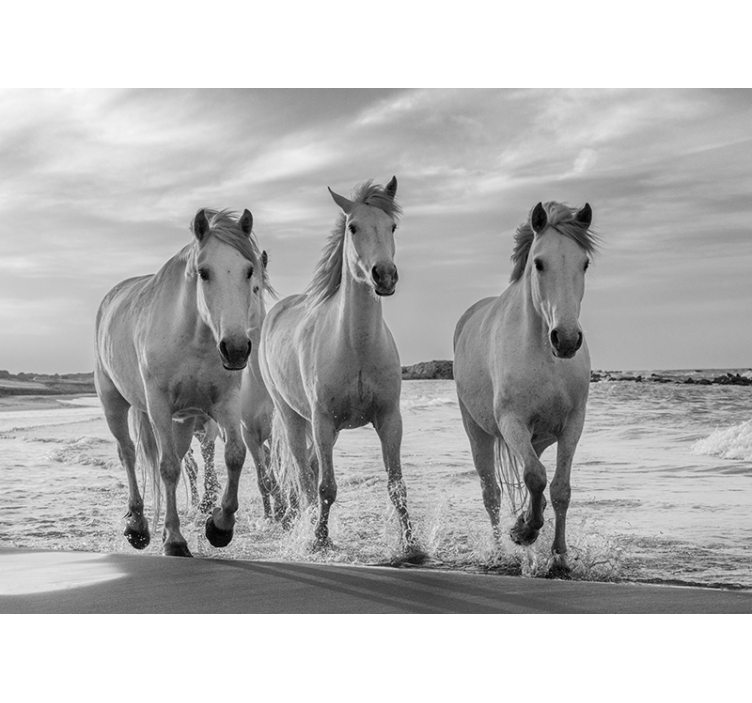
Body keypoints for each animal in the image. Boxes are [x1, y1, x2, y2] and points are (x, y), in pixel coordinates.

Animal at [94, 208, 271, 557]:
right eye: (204, 273)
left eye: (249, 272)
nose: (236, 348)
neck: (194, 340)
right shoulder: (159, 407)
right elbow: (168, 468)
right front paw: (174, 540)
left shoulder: (225, 402)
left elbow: (234, 455)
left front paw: (219, 526)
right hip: (113, 402)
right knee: (129, 453)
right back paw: (137, 526)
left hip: (184, 421)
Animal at [260, 177, 423, 560]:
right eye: (353, 227)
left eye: (392, 226)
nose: (385, 276)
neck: (356, 345)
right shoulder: (322, 422)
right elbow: (325, 488)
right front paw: (319, 540)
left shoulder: (389, 419)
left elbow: (397, 486)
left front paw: (411, 546)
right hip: (293, 418)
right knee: (303, 477)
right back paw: (305, 529)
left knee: (308, 469)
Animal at [453, 201, 597, 575]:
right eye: (539, 263)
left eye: (584, 263)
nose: (567, 339)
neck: (545, 356)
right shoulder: (512, 422)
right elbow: (534, 477)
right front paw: (524, 532)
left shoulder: (573, 425)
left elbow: (559, 489)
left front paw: (559, 557)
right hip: (477, 431)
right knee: (491, 493)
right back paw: (499, 552)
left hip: (538, 439)